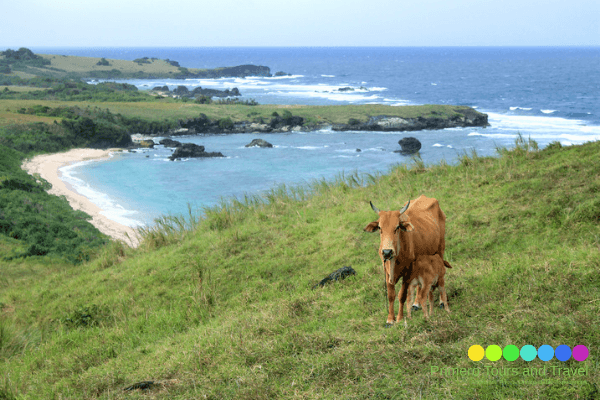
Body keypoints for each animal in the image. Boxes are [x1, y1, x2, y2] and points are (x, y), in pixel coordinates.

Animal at [364, 196, 452, 324]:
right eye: (380, 227)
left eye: (397, 227)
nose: (387, 252)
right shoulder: (386, 271)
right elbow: (391, 296)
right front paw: (390, 319)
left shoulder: (407, 272)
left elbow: (402, 295)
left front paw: (400, 318)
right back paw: (416, 303)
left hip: (440, 250)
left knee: (441, 278)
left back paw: (441, 302)